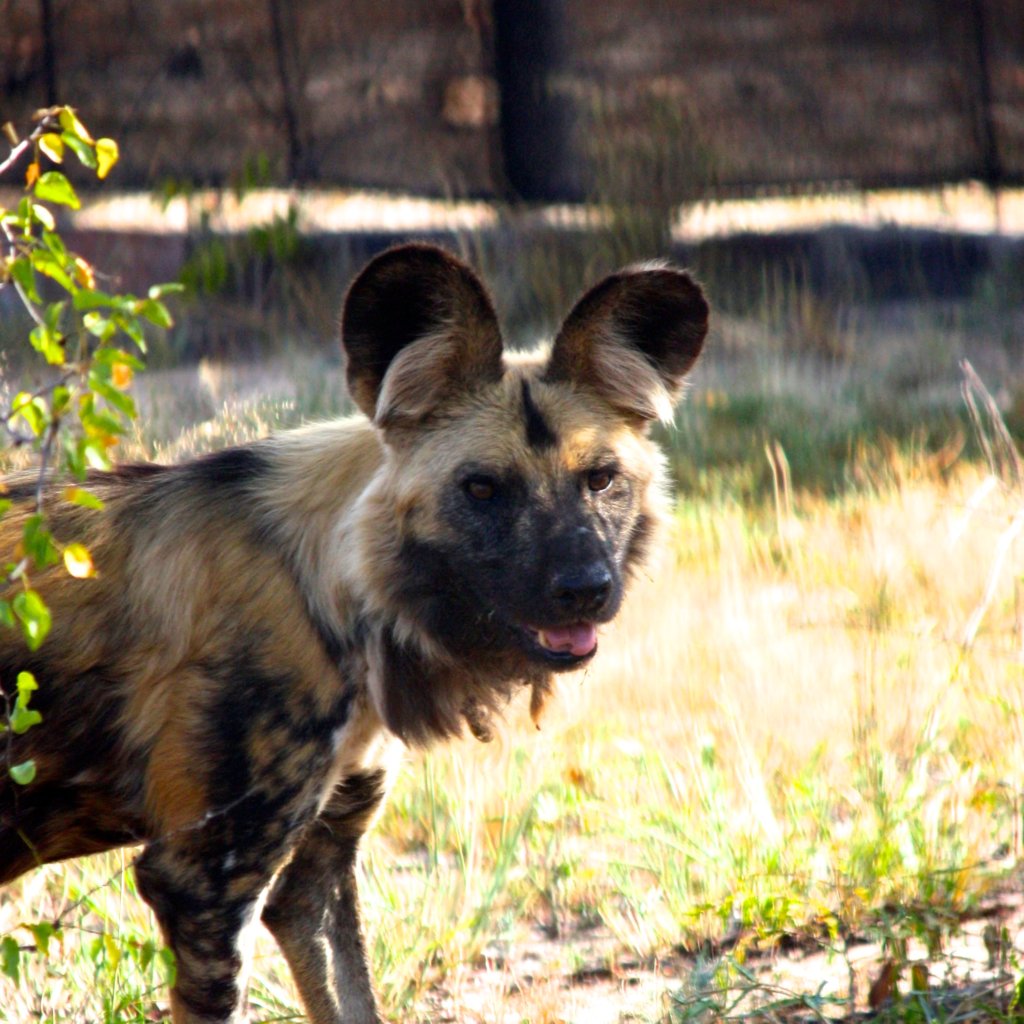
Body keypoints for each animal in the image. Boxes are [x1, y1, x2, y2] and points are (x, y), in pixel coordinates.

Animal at [0, 243, 704, 1019]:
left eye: (601, 479)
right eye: (482, 488)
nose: (584, 588)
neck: (333, 590)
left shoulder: (316, 871)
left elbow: (352, 993)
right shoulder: (202, 884)